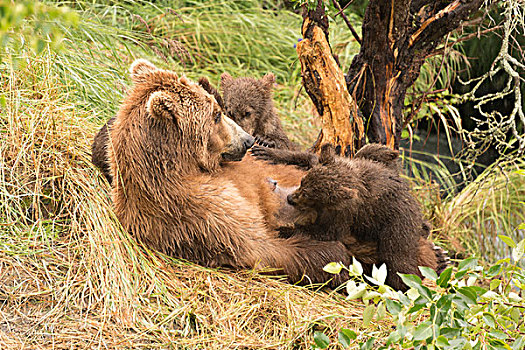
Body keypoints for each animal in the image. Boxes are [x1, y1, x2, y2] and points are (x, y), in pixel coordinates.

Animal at [108, 58, 350, 286]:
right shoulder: (199, 212)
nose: (248, 140)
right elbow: (262, 246)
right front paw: (335, 255)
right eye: (217, 115)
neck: (188, 166)